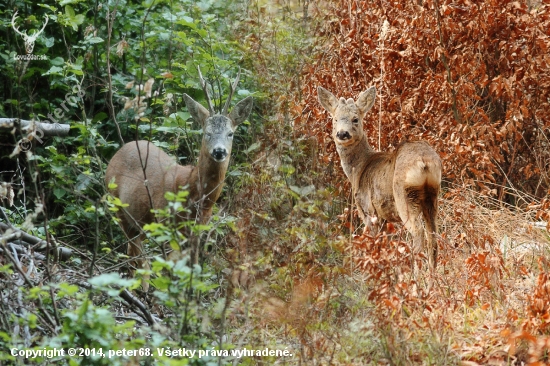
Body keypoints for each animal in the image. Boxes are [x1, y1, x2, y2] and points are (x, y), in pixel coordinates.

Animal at [105, 68, 254, 288]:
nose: (219, 151)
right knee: (139, 255)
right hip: (118, 206)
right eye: (206, 132)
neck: (192, 192)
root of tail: (118, 153)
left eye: (230, 133)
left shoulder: (198, 229)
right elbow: (170, 270)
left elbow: (194, 268)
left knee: (134, 253)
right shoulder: (166, 223)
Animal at [320, 86, 444, 268]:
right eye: (335, 119)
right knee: (433, 237)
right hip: (432, 195)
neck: (359, 168)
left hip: (405, 195)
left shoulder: (368, 210)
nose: (342, 134)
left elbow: (377, 245)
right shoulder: (385, 217)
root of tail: (424, 162)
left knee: (418, 233)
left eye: (355, 119)